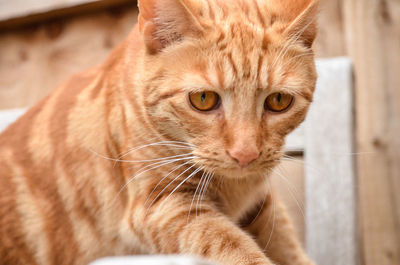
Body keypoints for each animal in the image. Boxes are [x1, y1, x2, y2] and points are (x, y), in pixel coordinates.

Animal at [0, 0, 318, 264]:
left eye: (279, 101)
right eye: (203, 99)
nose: (245, 154)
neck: (236, 187)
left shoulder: (262, 206)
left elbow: (288, 249)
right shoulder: (161, 206)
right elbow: (229, 245)